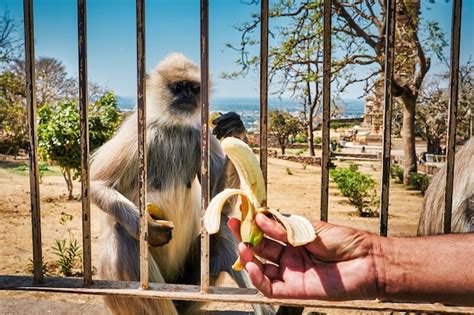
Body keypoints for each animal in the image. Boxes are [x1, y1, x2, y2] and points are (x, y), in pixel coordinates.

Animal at [90, 54, 274, 315]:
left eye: (194, 88)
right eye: (178, 87)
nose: (187, 96)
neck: (173, 126)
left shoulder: (201, 133)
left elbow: (218, 204)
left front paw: (235, 130)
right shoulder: (137, 132)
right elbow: (97, 184)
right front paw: (150, 228)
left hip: (191, 287)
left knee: (221, 226)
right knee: (124, 233)